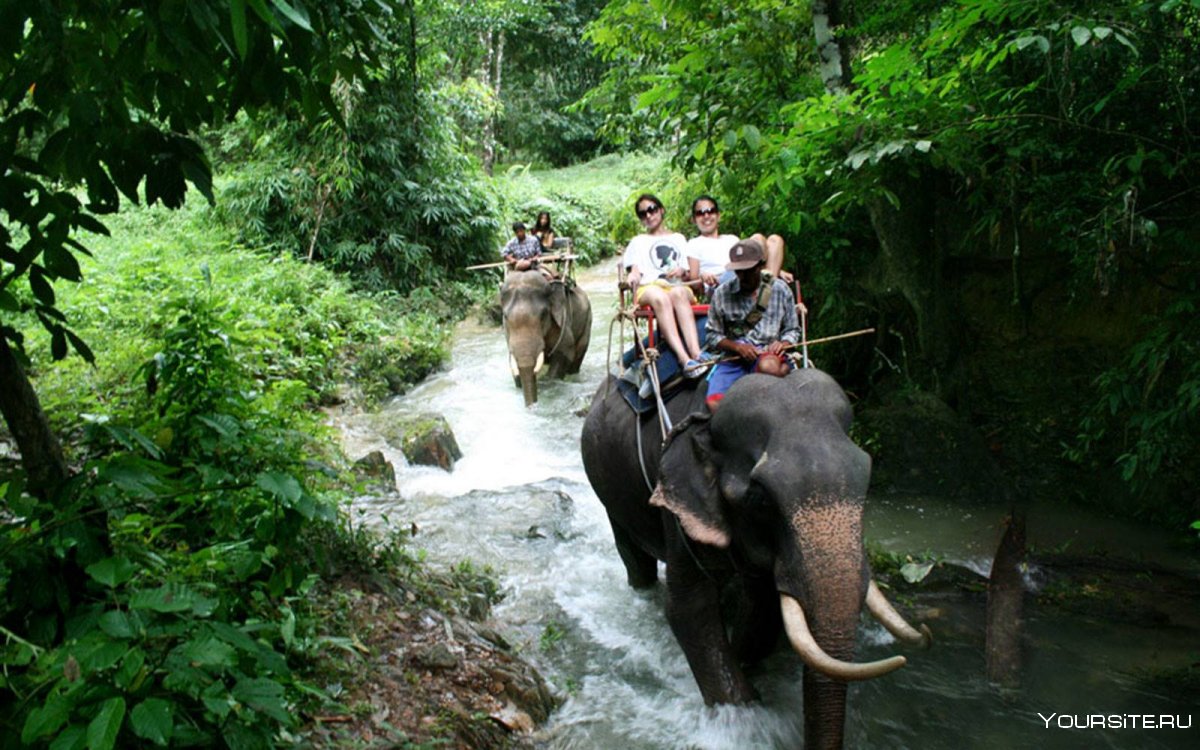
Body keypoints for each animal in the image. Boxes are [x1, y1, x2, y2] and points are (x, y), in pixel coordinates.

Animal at [496, 268, 590, 405]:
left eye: (543, 315)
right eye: (505, 316)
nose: (531, 407)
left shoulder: (561, 321)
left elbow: (565, 351)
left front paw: (547, 384)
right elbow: (514, 364)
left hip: (587, 323)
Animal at [578, 369, 926, 748]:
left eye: (866, 483)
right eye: (760, 499)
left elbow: (764, 605)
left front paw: (744, 656)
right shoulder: (676, 500)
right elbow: (688, 607)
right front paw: (742, 716)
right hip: (606, 487)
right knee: (634, 556)